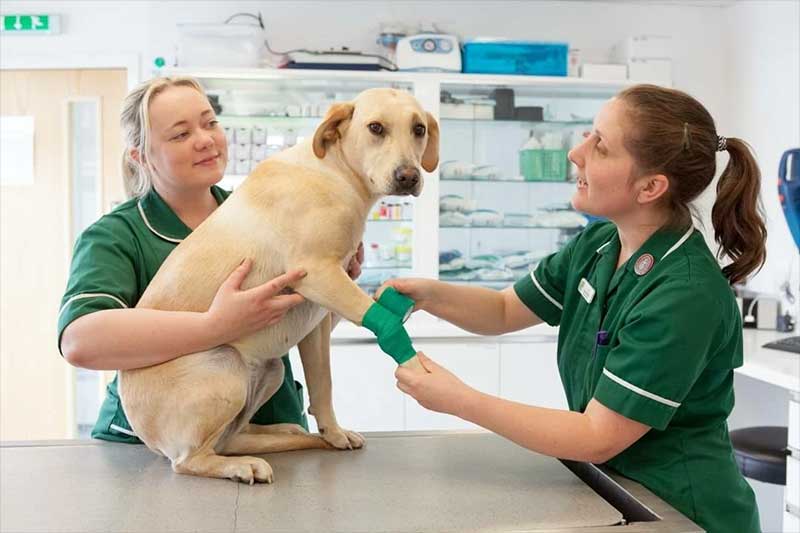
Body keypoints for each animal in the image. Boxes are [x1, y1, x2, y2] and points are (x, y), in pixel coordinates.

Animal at [119, 86, 440, 482]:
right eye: (376, 128)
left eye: (419, 129)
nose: (409, 176)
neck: (334, 173)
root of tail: (147, 436)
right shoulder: (318, 275)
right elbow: (385, 321)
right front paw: (417, 368)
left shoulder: (318, 319)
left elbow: (323, 384)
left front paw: (333, 432)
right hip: (224, 368)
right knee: (191, 459)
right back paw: (242, 464)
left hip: (270, 371)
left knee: (232, 437)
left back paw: (290, 434)